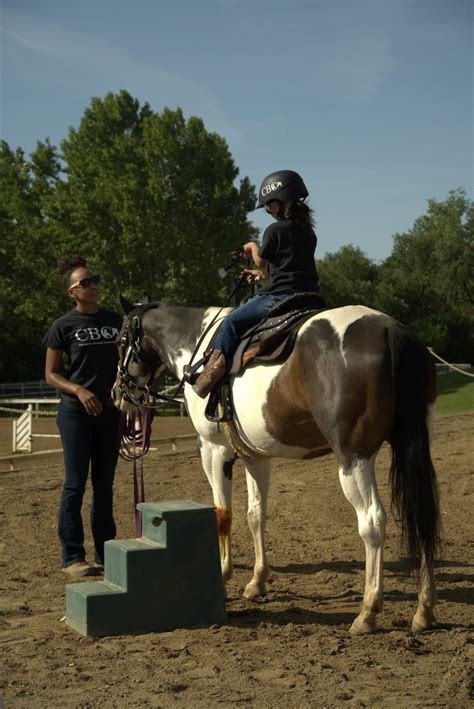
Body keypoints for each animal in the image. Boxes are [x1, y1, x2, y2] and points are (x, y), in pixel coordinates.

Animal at [113, 296, 438, 632]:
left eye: (120, 341)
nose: (117, 393)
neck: (196, 341)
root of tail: (388, 329)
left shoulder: (213, 450)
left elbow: (223, 514)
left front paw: (223, 575)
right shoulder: (255, 456)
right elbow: (256, 514)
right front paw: (257, 581)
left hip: (353, 460)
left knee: (372, 522)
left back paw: (368, 612)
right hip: (414, 446)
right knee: (425, 515)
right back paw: (424, 610)